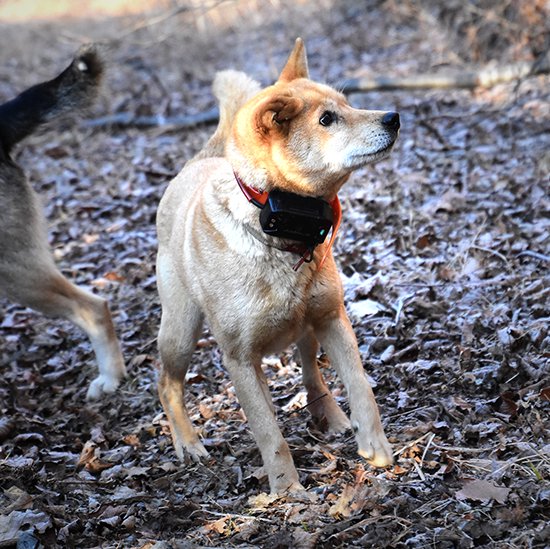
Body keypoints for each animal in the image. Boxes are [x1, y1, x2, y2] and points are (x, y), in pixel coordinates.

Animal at [157, 38, 398, 492]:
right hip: (179, 333)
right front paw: (287, 491)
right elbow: (269, 433)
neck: (280, 232)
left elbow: (360, 385)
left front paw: (376, 447)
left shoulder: (333, 318)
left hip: (308, 327)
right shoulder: (239, 359)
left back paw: (331, 417)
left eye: (347, 103)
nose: (394, 117)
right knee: (167, 385)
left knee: (311, 373)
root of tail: (197, 163)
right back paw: (188, 444)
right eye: (327, 119)